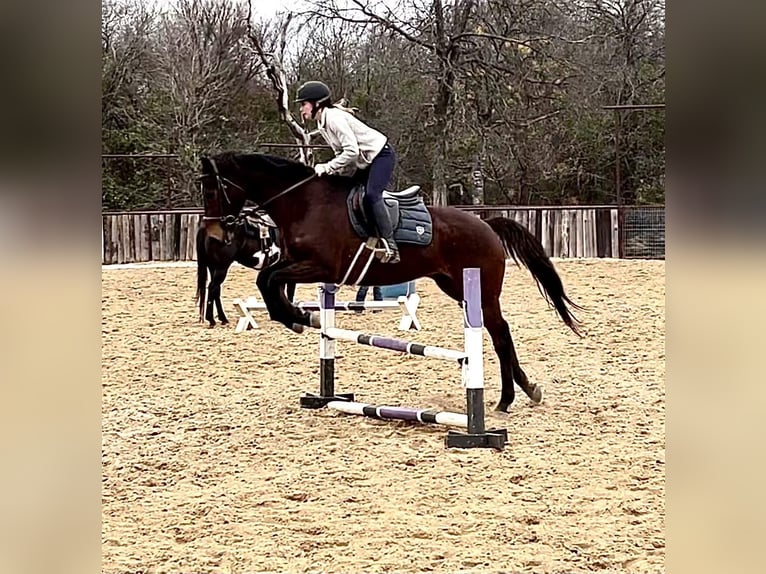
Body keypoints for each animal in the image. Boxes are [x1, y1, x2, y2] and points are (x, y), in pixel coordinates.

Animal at [198, 152, 584, 414]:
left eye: (212, 189)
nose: (215, 233)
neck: (303, 202)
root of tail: (486, 225)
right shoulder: (298, 264)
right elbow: (267, 280)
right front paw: (298, 317)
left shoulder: (319, 266)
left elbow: (269, 280)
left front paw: (296, 317)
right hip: (457, 289)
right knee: (499, 333)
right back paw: (525, 389)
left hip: (481, 292)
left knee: (501, 334)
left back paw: (507, 398)